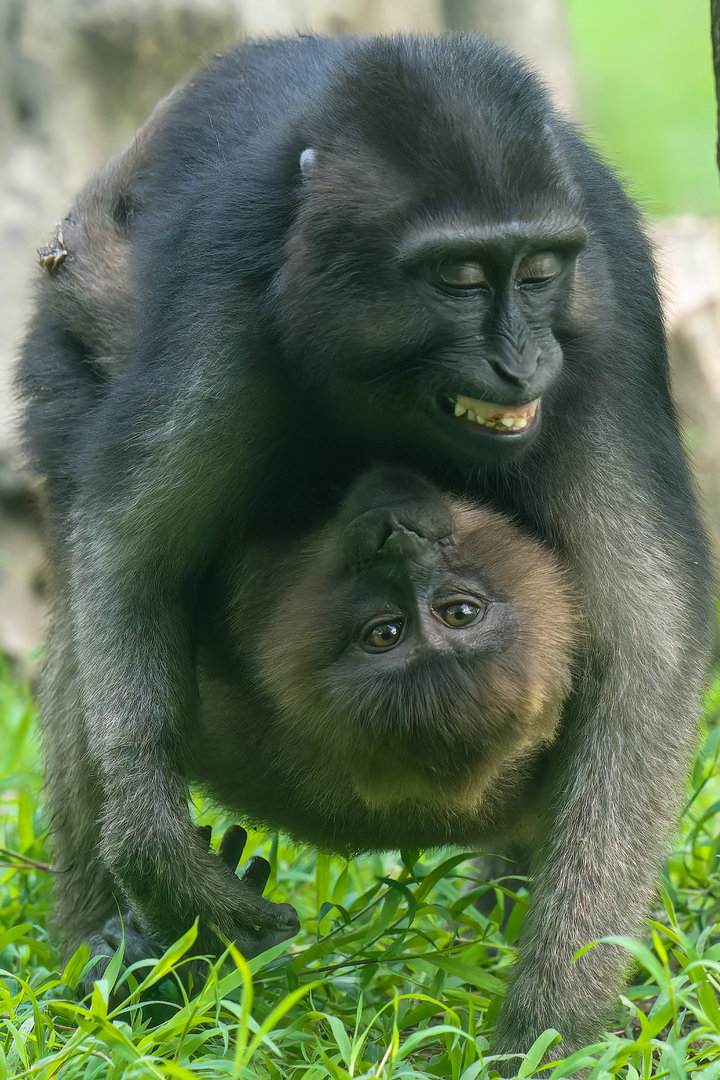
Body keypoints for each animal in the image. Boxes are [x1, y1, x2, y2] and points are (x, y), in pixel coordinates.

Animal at [16, 34, 714, 1059]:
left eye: (540, 270)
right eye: (459, 278)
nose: (520, 363)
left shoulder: (606, 309)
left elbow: (649, 654)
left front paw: (551, 1028)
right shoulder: (230, 295)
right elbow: (132, 554)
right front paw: (158, 857)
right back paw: (104, 970)